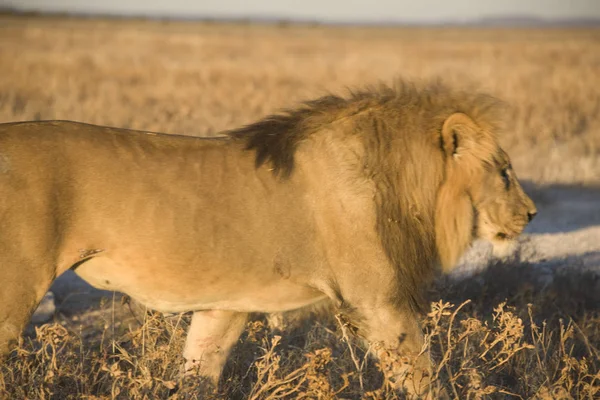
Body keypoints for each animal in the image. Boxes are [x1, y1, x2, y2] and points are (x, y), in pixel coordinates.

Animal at [0, 79, 536, 396]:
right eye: (504, 172)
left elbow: (198, 373)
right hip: (14, 290)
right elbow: (422, 378)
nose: (531, 214)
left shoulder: (225, 306)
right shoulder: (378, 300)